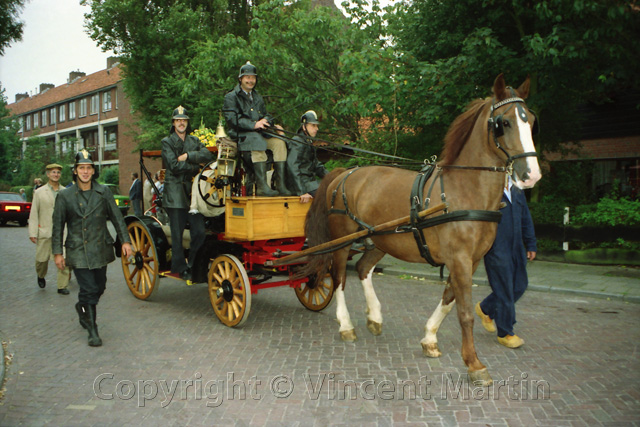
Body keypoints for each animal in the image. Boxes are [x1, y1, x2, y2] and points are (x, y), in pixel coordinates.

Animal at [300, 74, 540, 388]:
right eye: (504, 122)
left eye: (531, 120)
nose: (531, 174)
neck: (462, 192)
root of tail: (345, 172)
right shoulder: (460, 259)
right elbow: (464, 312)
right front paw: (474, 364)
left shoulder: (471, 260)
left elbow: (448, 301)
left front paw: (429, 339)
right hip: (343, 240)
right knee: (339, 277)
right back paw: (346, 325)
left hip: (379, 239)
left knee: (363, 268)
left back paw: (374, 317)